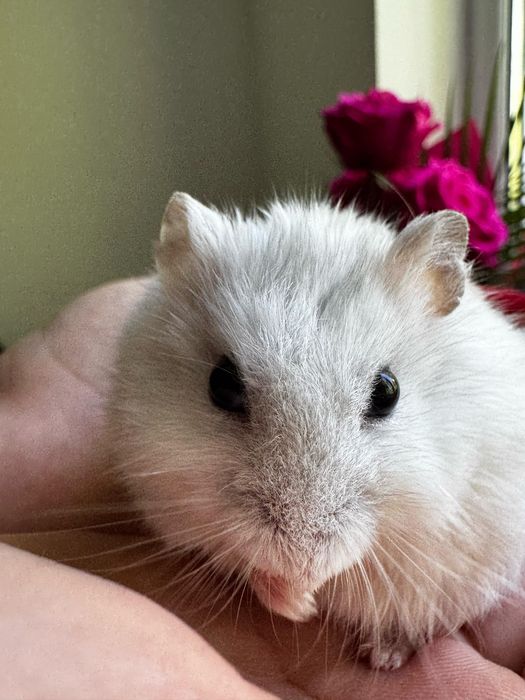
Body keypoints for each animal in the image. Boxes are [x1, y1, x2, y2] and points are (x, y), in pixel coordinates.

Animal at [108, 192, 525, 670]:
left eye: (387, 392)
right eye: (222, 385)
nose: (300, 560)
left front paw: (309, 595)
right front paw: (298, 602)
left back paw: (384, 654)